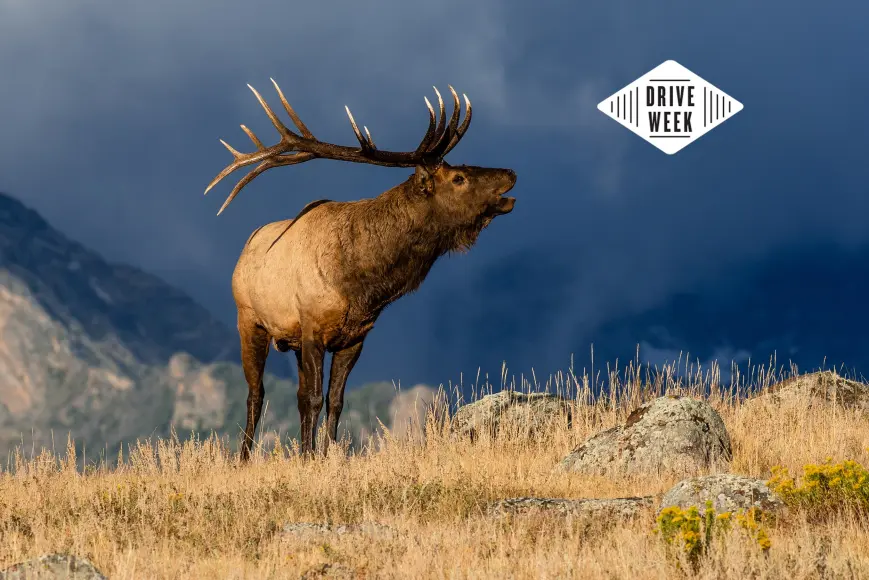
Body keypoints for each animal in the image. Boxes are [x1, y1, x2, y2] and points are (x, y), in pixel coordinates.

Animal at [203, 79, 516, 460]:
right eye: (458, 178)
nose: (510, 173)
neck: (361, 284)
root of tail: (244, 249)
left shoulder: (355, 336)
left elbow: (334, 401)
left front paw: (326, 454)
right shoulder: (312, 326)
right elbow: (311, 398)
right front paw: (309, 457)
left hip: (289, 339)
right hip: (249, 320)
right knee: (256, 394)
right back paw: (244, 458)